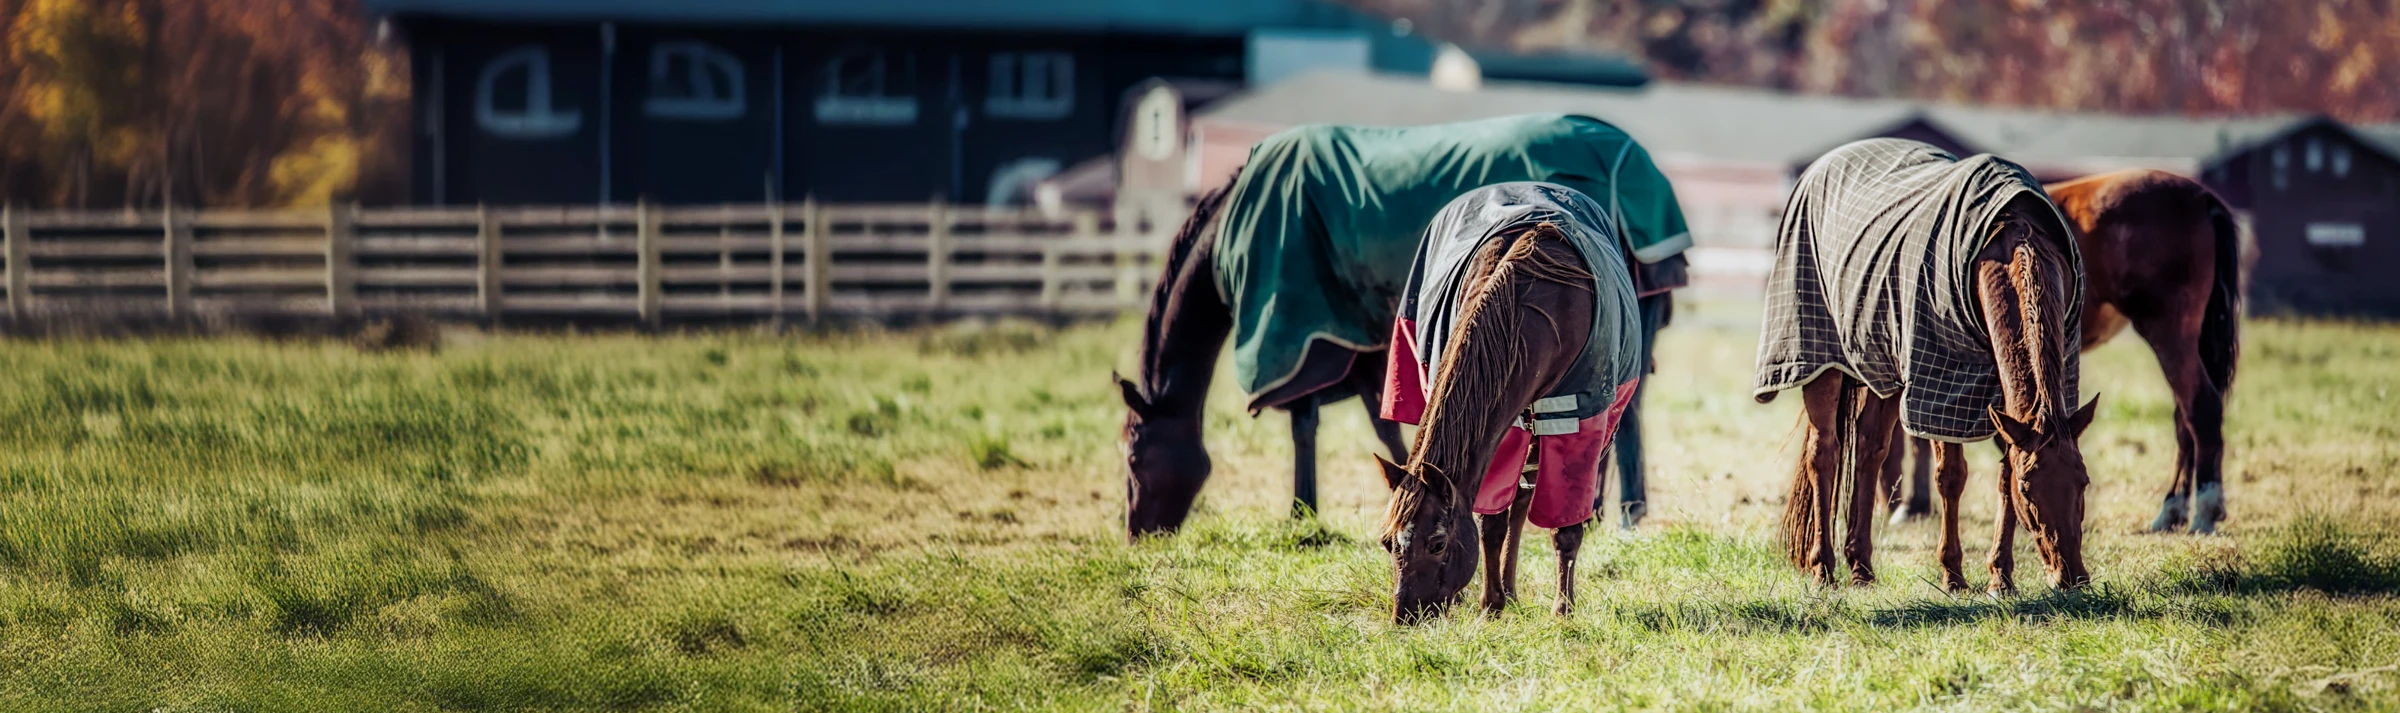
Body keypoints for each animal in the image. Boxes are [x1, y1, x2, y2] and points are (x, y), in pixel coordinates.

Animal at [1382, 184, 1641, 624]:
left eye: (1437, 543)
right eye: (1387, 543)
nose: (1406, 616)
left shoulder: (1576, 420)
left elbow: (1565, 525)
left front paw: (1563, 609)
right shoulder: (1504, 427)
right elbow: (1492, 521)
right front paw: (1492, 603)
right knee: (1516, 502)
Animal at [1756, 137, 2092, 588]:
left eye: (2083, 481)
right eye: (2029, 489)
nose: (2072, 577)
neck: (2012, 240)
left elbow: (2001, 469)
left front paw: (2000, 577)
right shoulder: (1942, 384)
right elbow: (1951, 475)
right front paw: (1953, 573)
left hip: (1882, 367)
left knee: (1869, 451)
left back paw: (1861, 566)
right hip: (1819, 361)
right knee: (1823, 453)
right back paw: (1823, 566)